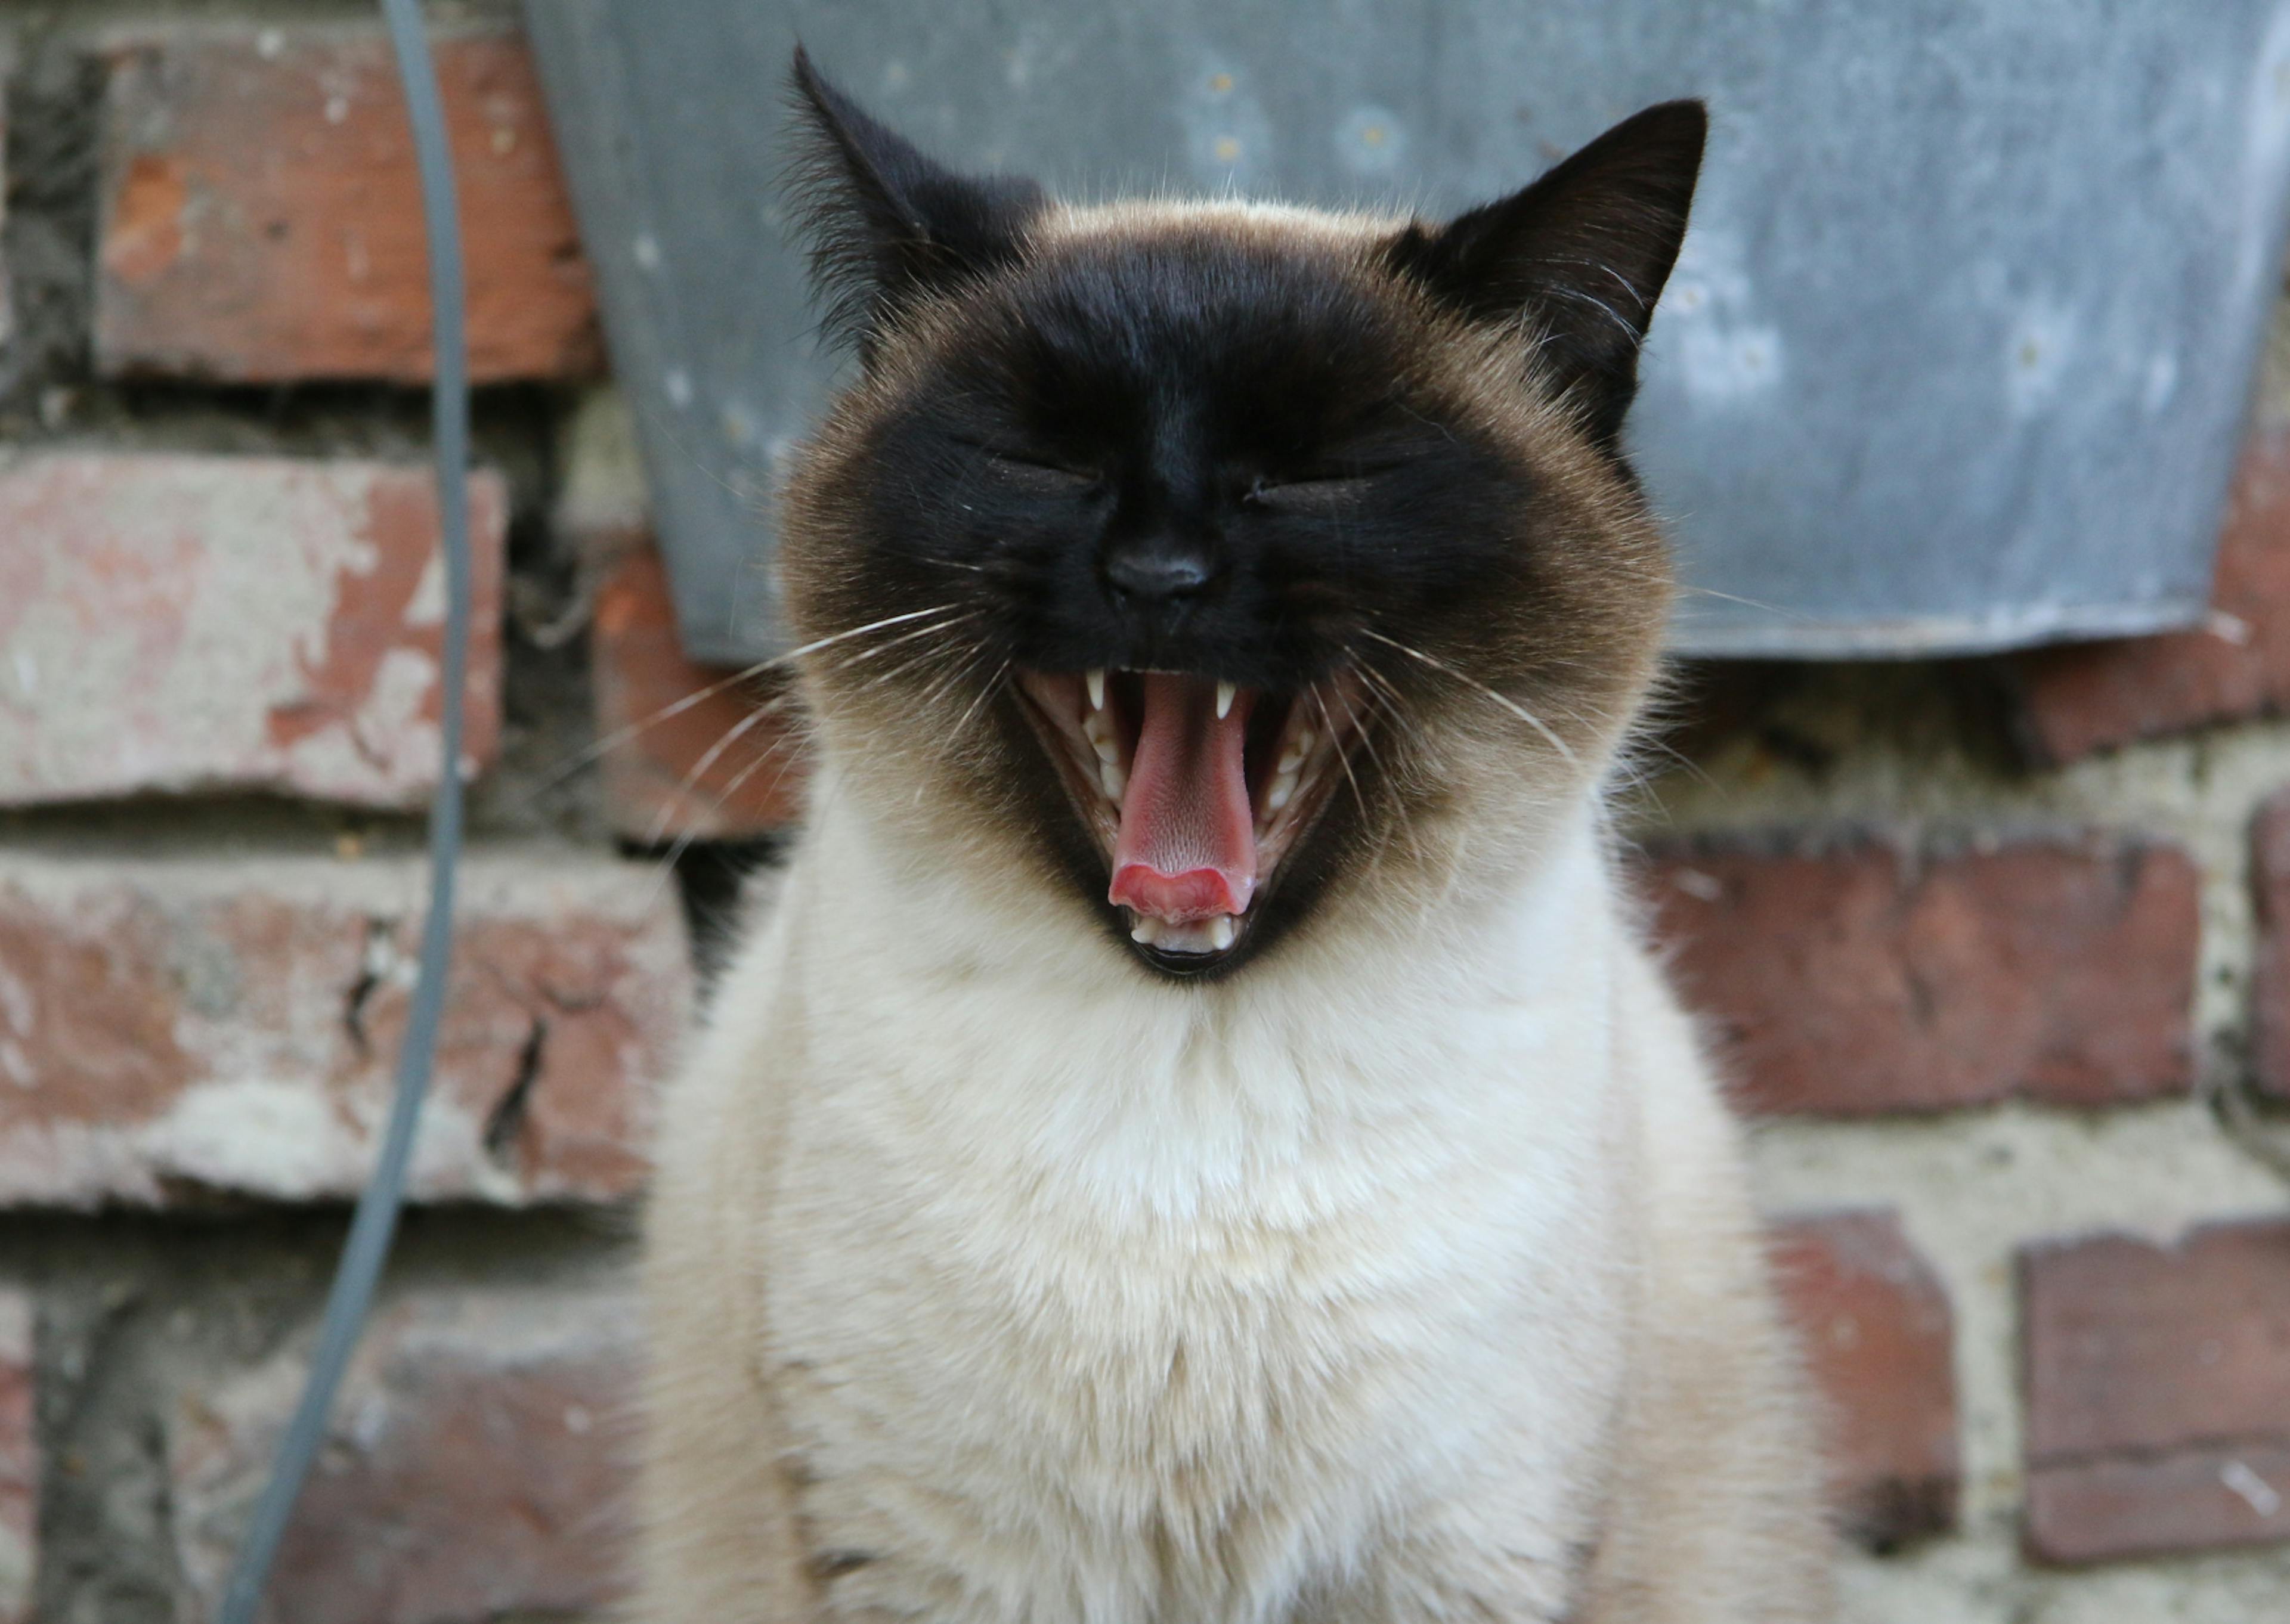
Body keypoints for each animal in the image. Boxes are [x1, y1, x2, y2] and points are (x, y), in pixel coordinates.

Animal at [636, 51, 1832, 1622]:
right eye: (1042, 462)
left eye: (1314, 478)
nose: (1159, 576)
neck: (1194, 1080)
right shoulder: (935, 1559)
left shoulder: (1459, 1555)